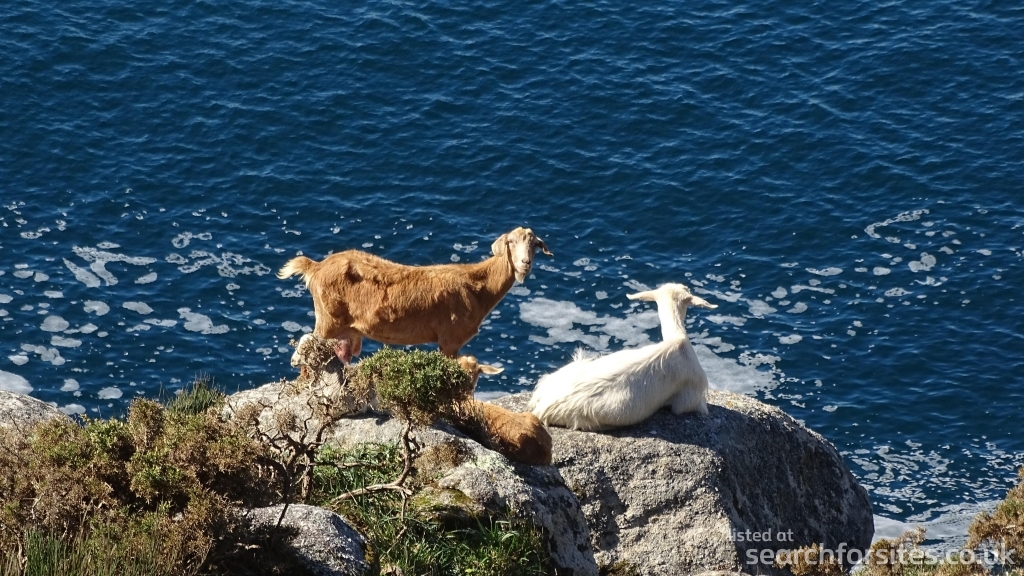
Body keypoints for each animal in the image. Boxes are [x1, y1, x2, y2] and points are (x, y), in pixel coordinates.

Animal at [277, 227, 552, 359]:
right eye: (510, 243)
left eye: (534, 245)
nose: (525, 263)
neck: (478, 286)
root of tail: (315, 267)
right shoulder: (450, 339)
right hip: (328, 319)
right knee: (307, 344)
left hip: (346, 329)